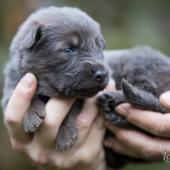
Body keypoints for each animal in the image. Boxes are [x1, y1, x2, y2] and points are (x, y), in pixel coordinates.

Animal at [1, 6, 108, 151]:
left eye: (100, 47)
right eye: (69, 49)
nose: (102, 74)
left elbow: (73, 106)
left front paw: (65, 136)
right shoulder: (12, 86)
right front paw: (31, 116)